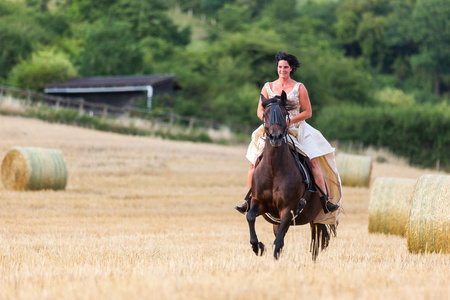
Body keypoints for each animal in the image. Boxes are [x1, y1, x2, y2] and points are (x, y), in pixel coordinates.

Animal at [246, 91, 334, 260]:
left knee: (316, 241)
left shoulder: (288, 210)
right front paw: (257, 247)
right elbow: (250, 217)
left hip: (317, 217)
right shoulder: (258, 202)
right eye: (265, 115)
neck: (273, 170)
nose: (275, 137)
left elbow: (278, 242)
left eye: (284, 113)